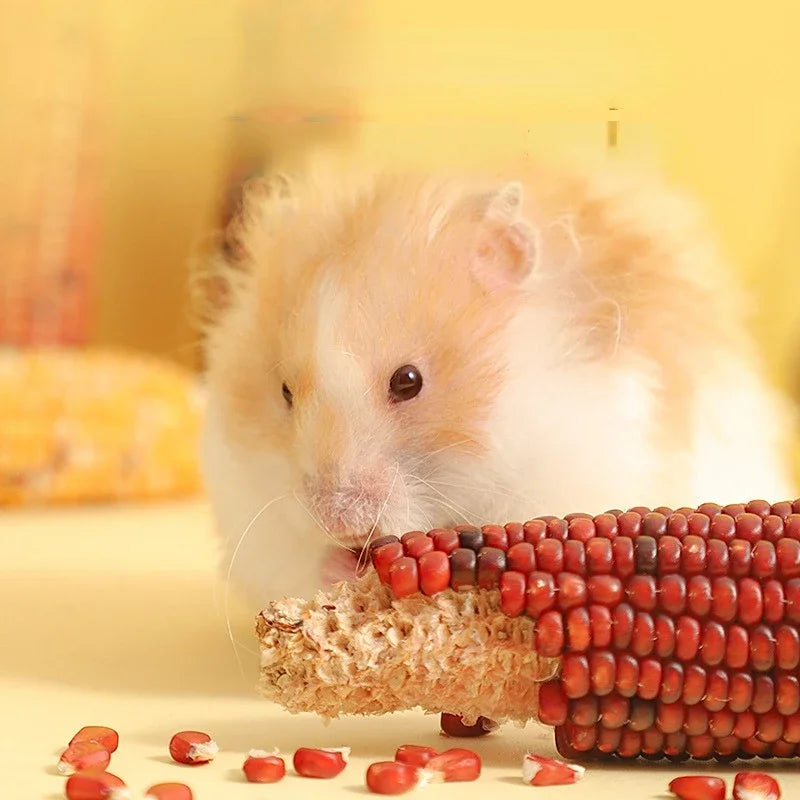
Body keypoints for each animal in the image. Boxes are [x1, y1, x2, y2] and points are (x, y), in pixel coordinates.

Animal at [197, 154, 795, 606]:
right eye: (284, 393)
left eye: (408, 381)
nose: (337, 518)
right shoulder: (250, 509)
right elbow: (297, 560)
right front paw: (344, 567)